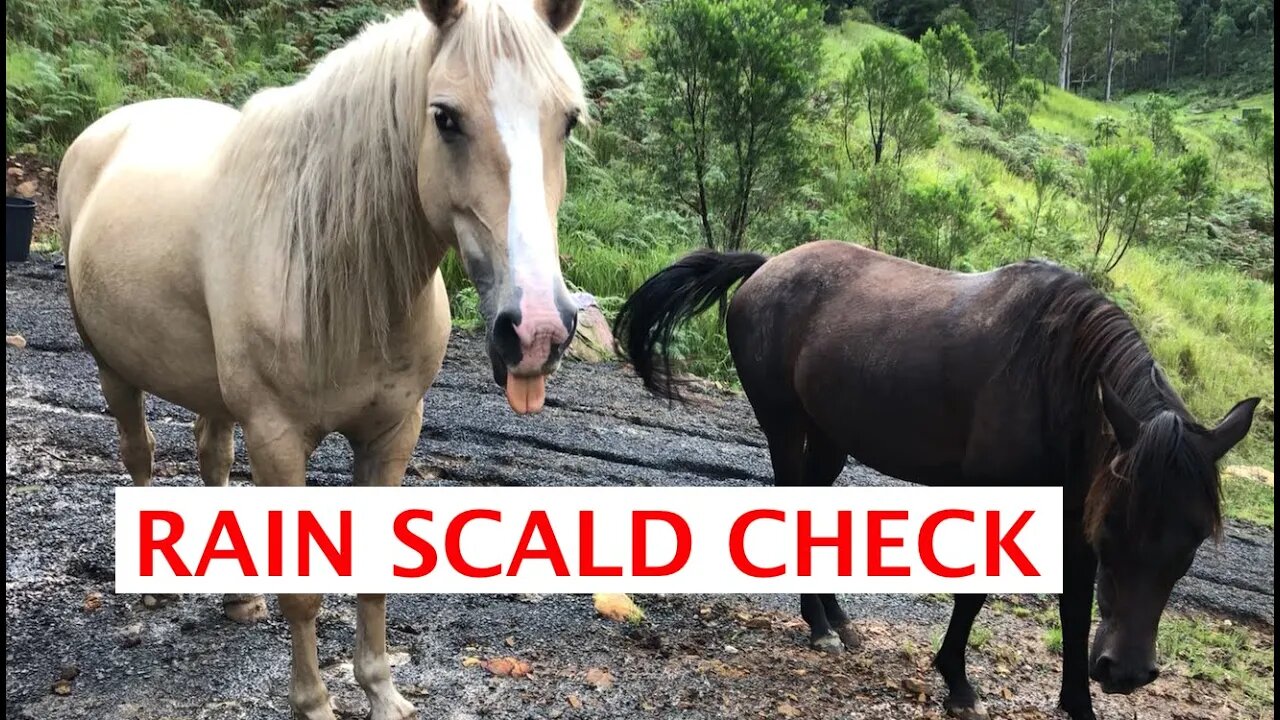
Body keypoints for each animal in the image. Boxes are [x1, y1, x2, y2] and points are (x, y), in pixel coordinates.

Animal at [58, 1, 589, 717]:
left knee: (211, 456)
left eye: (568, 119)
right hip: (113, 369)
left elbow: (374, 573)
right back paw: (154, 590)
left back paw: (238, 596)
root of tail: (104, 131)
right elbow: (303, 591)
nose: (534, 330)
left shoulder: (393, 432)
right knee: (138, 454)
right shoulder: (278, 438)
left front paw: (382, 693)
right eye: (445, 117)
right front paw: (313, 702)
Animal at [614, 240, 1259, 720]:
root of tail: (769, 266)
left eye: (1195, 537)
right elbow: (975, 592)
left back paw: (837, 619)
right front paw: (957, 682)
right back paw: (818, 626)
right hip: (784, 426)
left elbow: (1075, 608)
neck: (1054, 376)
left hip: (830, 437)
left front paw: (1077, 703)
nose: (1124, 673)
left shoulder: (1075, 511)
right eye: (1118, 527)